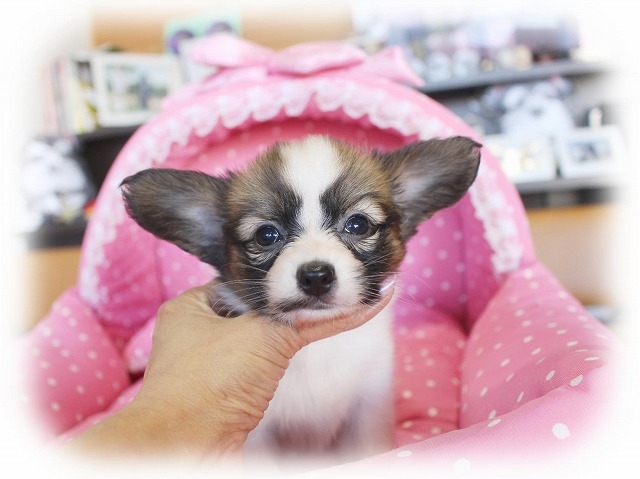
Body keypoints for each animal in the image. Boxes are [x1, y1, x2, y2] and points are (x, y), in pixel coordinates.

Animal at [120, 135, 480, 467]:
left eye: (358, 224)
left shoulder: (368, 405)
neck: (319, 347)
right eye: (266, 235)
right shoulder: (261, 435)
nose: (316, 275)